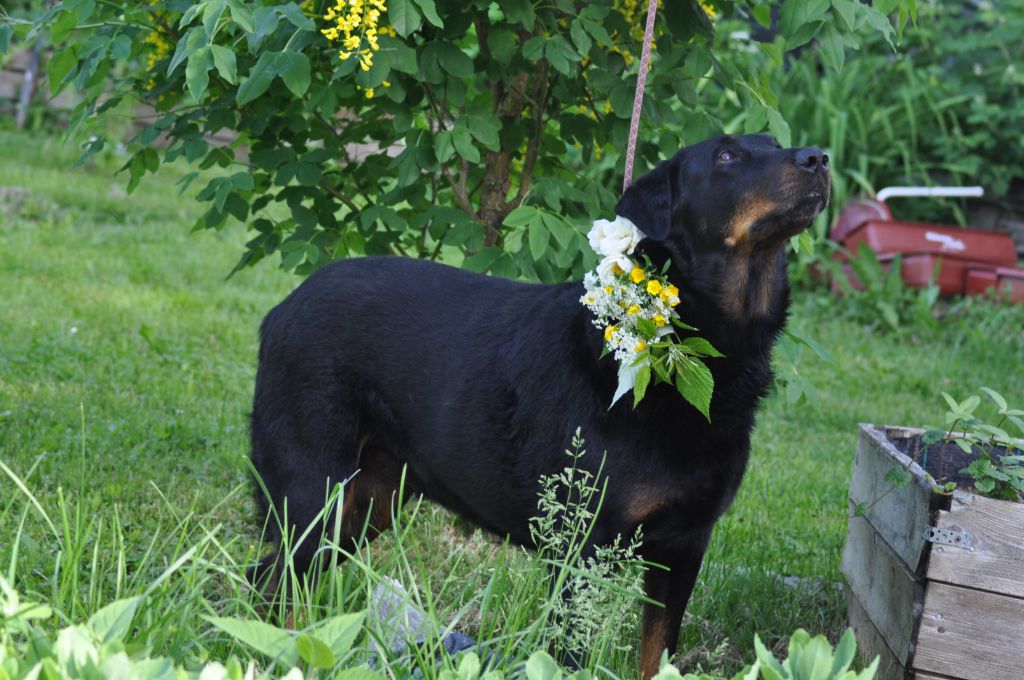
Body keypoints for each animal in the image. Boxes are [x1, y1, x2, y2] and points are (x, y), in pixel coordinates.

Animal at [249, 134, 831, 680]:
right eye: (726, 157)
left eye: (774, 144)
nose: (819, 158)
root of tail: (279, 310)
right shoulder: (581, 547)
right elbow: (569, 656)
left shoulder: (685, 546)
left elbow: (657, 654)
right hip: (312, 489)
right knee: (276, 579)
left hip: (367, 497)